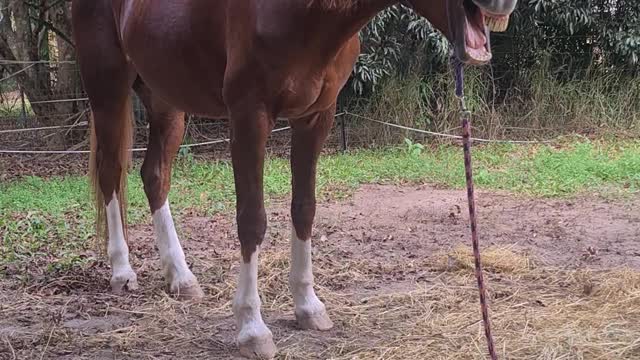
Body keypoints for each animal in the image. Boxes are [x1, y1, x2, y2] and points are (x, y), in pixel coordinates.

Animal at [72, 0, 516, 358]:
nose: (505, 2)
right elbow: (252, 220)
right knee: (111, 174)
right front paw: (252, 329)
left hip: (165, 98)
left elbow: (304, 209)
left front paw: (308, 306)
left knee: (154, 176)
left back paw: (181, 278)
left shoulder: (317, 117)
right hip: (108, 88)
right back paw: (122, 271)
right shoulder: (249, 117)